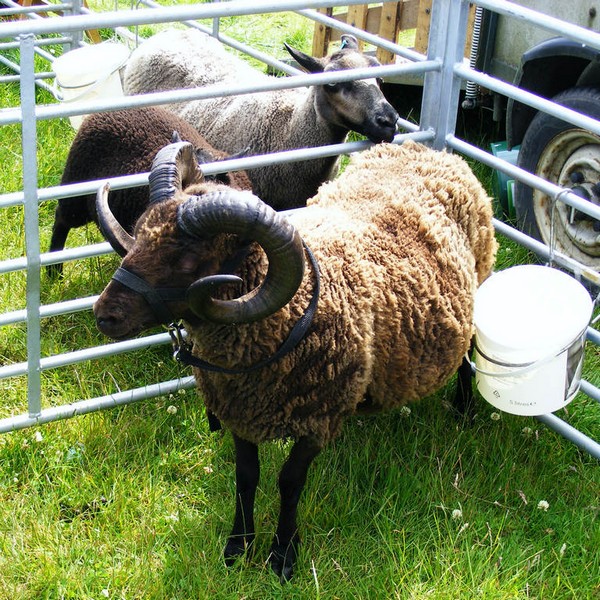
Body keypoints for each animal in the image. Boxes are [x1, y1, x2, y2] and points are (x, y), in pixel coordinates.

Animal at [92, 139, 496, 580]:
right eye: (140, 234)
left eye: (186, 259)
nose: (104, 314)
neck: (292, 313)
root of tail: (428, 148)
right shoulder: (239, 412)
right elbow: (245, 478)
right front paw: (238, 547)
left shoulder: (317, 421)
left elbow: (289, 482)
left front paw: (283, 554)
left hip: (479, 280)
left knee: (467, 349)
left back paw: (464, 408)